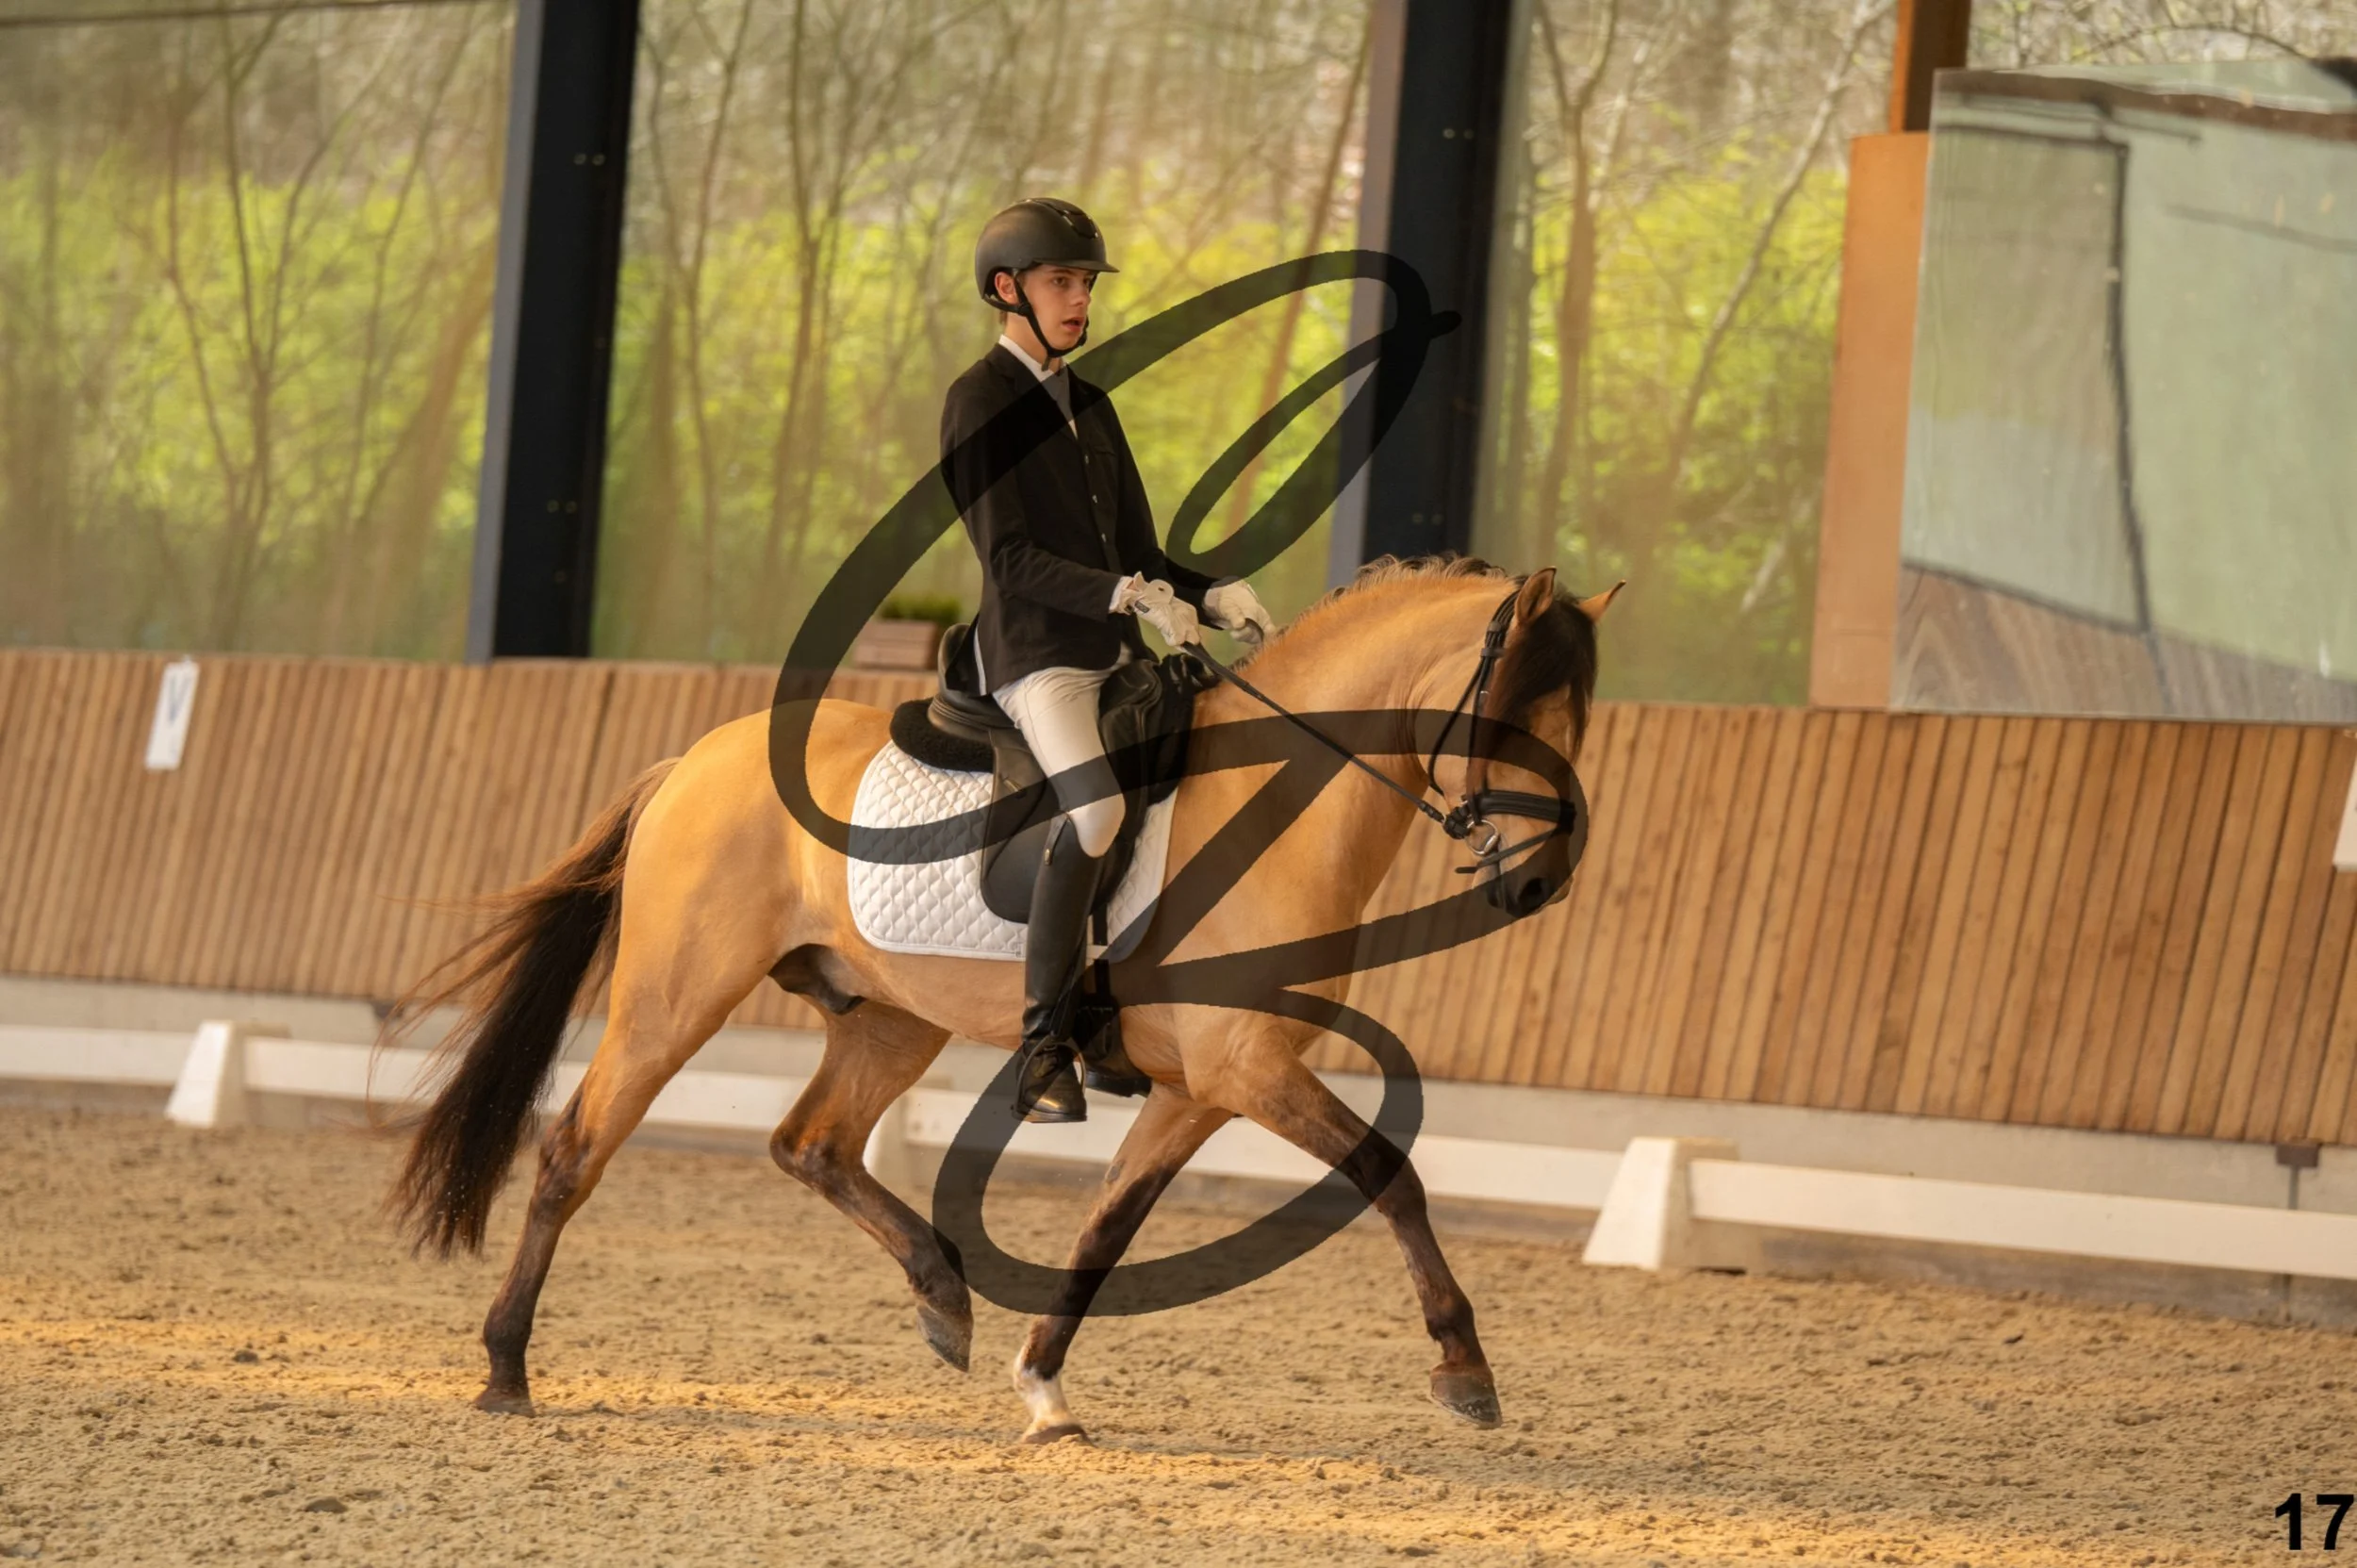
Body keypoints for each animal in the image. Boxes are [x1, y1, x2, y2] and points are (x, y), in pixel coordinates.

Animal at [389, 555, 1614, 1444]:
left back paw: (944, 1296)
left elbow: (1107, 1224)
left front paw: (1042, 1386)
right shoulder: (1248, 1068)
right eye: (1512, 717)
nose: (1540, 882)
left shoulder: (1204, 1086)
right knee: (575, 1150)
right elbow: (1390, 1173)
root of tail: (694, 759)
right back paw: (505, 1365)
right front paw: (1465, 1365)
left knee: (811, 1143)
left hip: (889, 1017)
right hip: (673, 997)